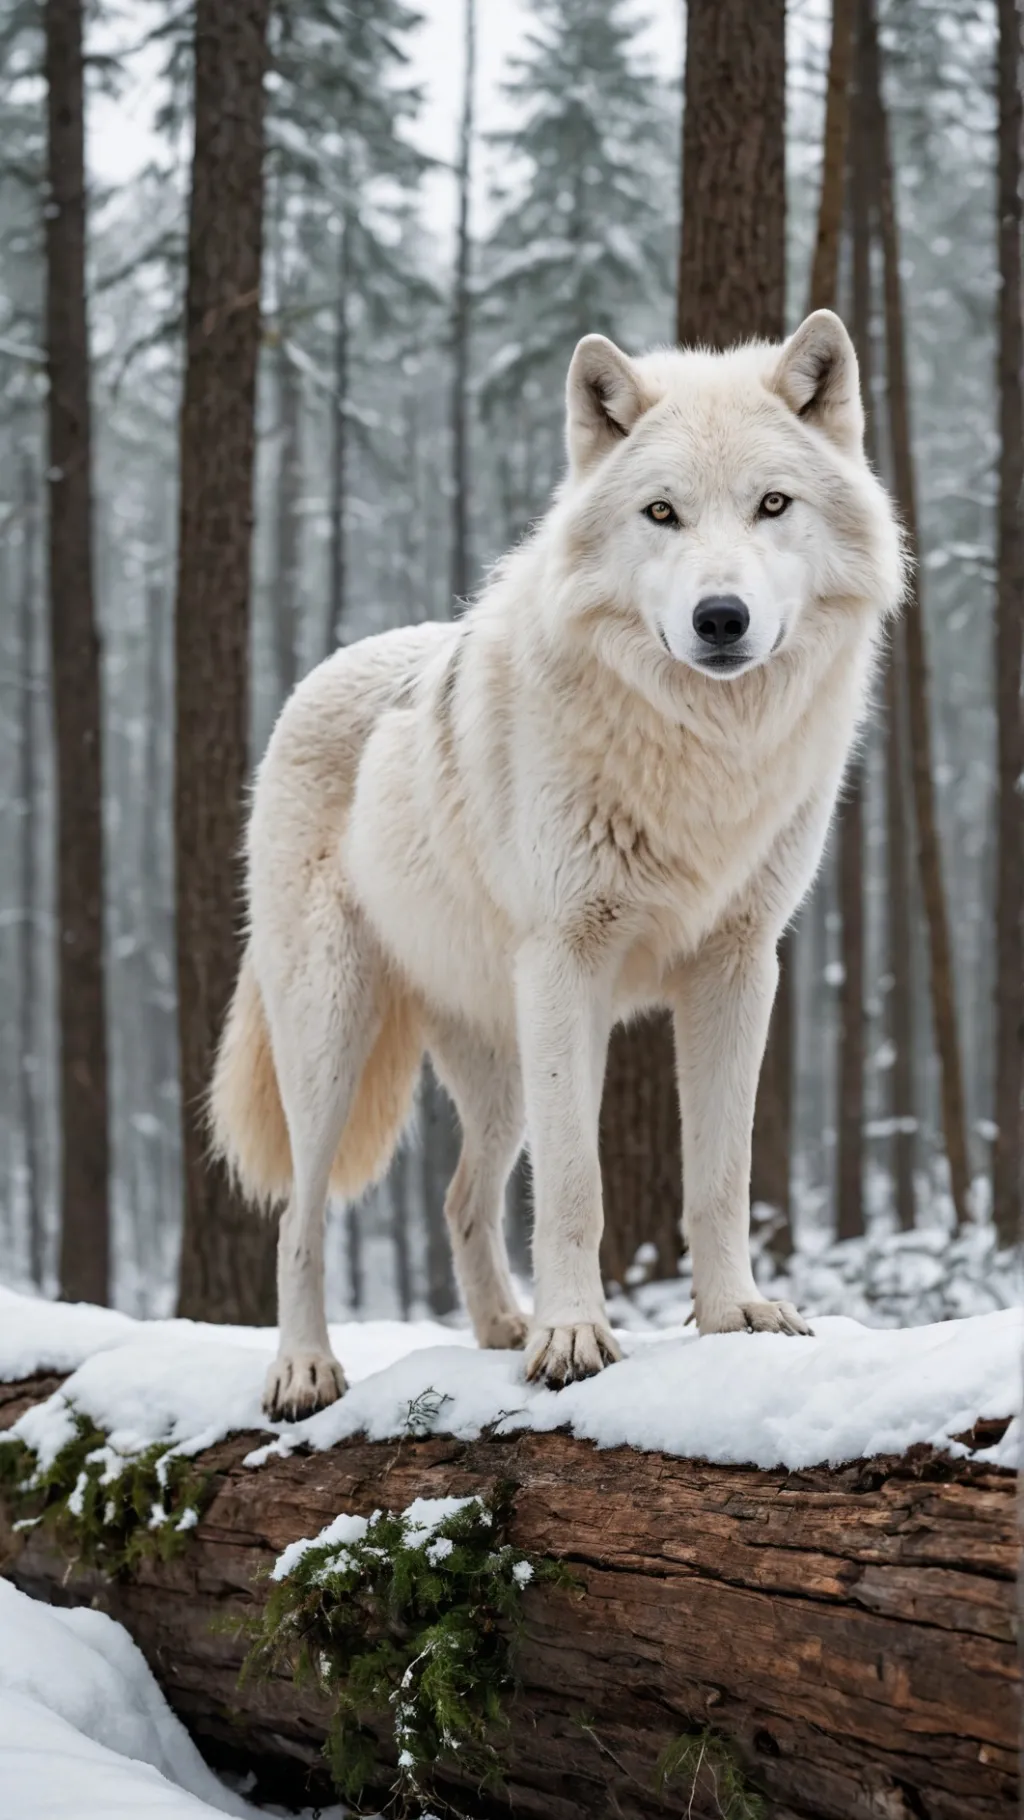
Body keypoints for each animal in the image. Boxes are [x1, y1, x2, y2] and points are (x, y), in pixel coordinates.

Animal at [211, 308, 904, 1421]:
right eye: (661, 512)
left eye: (772, 505)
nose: (720, 617)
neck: (697, 756)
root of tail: (317, 673)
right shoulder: (565, 960)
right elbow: (579, 1186)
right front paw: (573, 1337)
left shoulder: (738, 966)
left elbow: (721, 1173)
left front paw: (733, 1318)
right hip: (335, 1039)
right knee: (299, 1217)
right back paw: (305, 1369)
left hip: (500, 1061)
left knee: (461, 1195)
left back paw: (500, 1326)